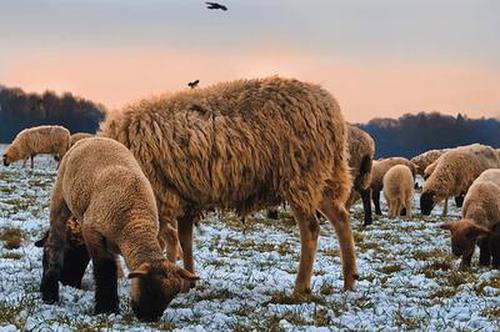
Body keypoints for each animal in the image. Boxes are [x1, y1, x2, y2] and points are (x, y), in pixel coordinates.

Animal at [40, 137, 197, 322]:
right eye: (149, 289)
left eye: (170, 298)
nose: (148, 318)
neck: (134, 219)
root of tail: (92, 138)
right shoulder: (92, 231)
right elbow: (105, 268)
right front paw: (106, 308)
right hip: (60, 198)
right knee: (54, 244)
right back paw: (49, 293)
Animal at [97, 76, 358, 294]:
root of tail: (331, 108)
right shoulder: (185, 196)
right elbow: (185, 239)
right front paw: (189, 280)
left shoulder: (160, 195)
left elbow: (172, 239)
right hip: (322, 175)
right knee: (340, 218)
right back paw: (349, 281)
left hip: (299, 175)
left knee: (311, 228)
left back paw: (300, 288)